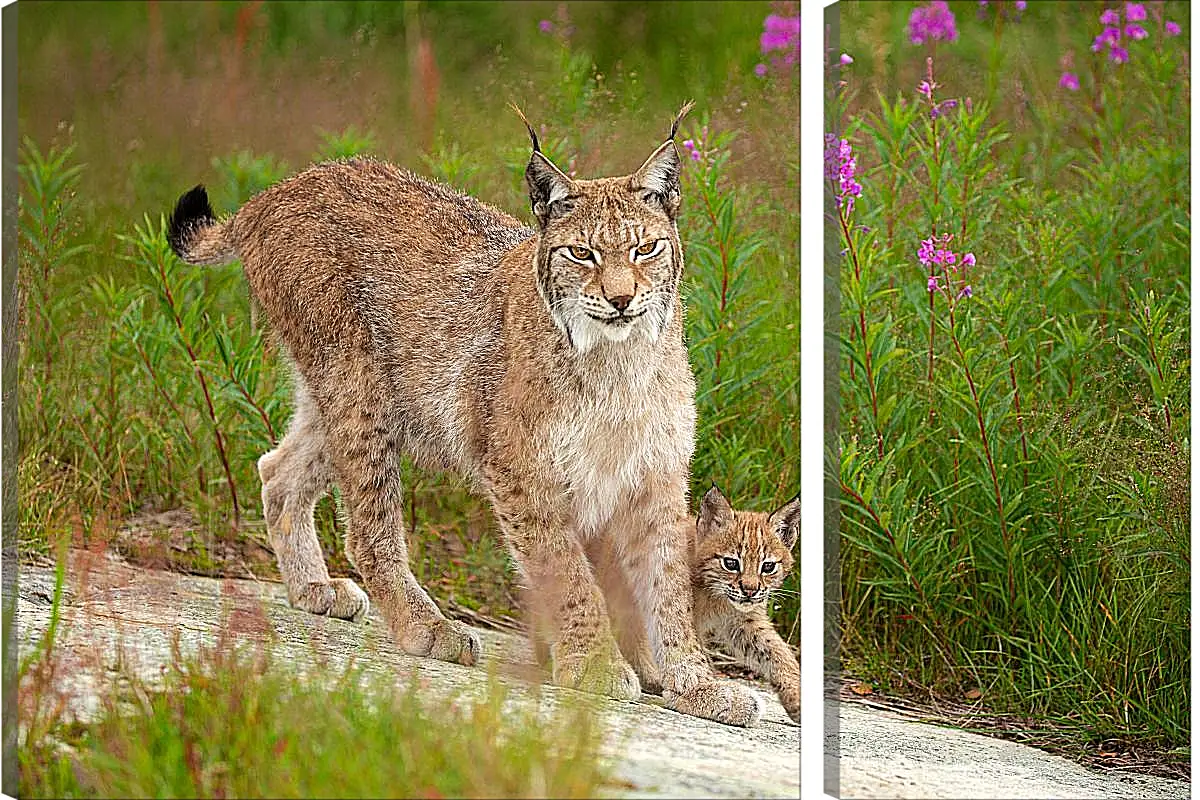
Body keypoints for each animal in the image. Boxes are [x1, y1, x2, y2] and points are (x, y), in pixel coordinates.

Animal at [166, 101, 758, 724]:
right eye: (582, 253)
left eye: (645, 249)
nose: (621, 299)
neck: (621, 358)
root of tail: (282, 187)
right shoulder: (523, 471)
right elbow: (568, 575)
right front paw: (597, 664)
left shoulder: (655, 479)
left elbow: (668, 591)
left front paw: (696, 684)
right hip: (362, 388)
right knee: (368, 530)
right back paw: (428, 628)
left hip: (358, 396)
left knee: (276, 471)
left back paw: (315, 591)